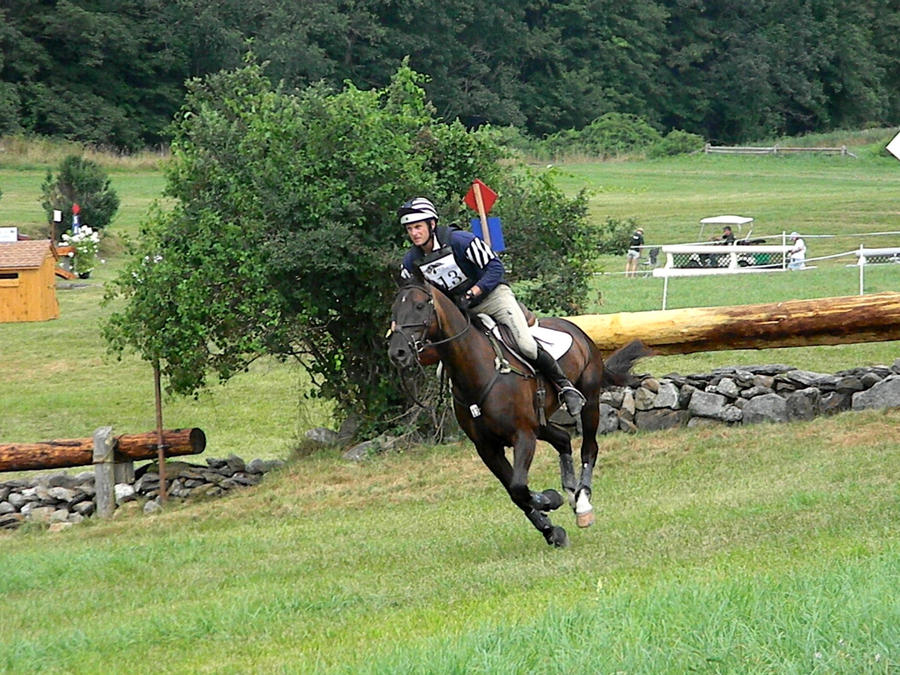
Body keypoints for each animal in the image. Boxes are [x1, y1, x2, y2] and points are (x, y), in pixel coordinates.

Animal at [388, 279, 649, 547]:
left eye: (420, 306)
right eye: (394, 309)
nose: (397, 353)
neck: (476, 371)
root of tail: (578, 331)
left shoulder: (522, 435)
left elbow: (519, 486)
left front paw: (550, 499)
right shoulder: (487, 448)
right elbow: (516, 493)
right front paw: (551, 528)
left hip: (589, 401)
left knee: (589, 448)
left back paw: (583, 503)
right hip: (540, 423)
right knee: (563, 439)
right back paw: (569, 490)